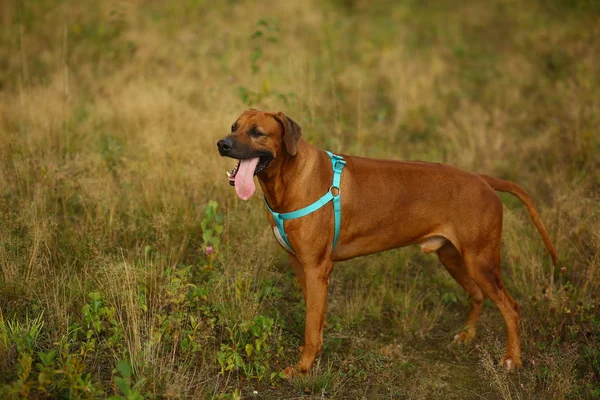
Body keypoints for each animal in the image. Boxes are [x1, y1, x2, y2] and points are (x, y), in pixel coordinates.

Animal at [216, 108, 556, 376]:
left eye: (257, 132)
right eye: (233, 126)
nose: (222, 144)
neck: (290, 176)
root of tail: (484, 179)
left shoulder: (316, 268)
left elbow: (311, 326)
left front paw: (302, 368)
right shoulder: (301, 265)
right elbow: (315, 318)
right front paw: (312, 356)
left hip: (481, 261)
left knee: (511, 308)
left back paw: (512, 360)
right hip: (454, 257)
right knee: (477, 294)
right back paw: (467, 336)